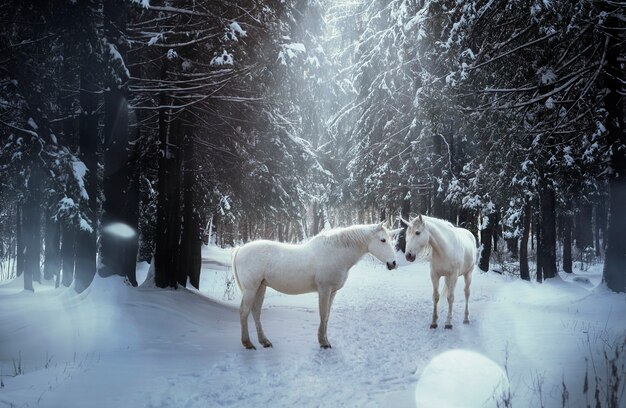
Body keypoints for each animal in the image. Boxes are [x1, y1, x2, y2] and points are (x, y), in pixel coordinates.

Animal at [229, 225, 394, 350]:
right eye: (383, 240)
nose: (393, 263)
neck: (335, 253)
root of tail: (240, 249)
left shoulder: (332, 292)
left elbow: (327, 316)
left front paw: (325, 340)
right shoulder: (324, 289)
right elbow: (323, 314)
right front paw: (323, 343)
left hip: (260, 287)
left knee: (256, 312)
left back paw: (264, 341)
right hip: (251, 289)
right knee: (244, 311)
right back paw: (248, 343)